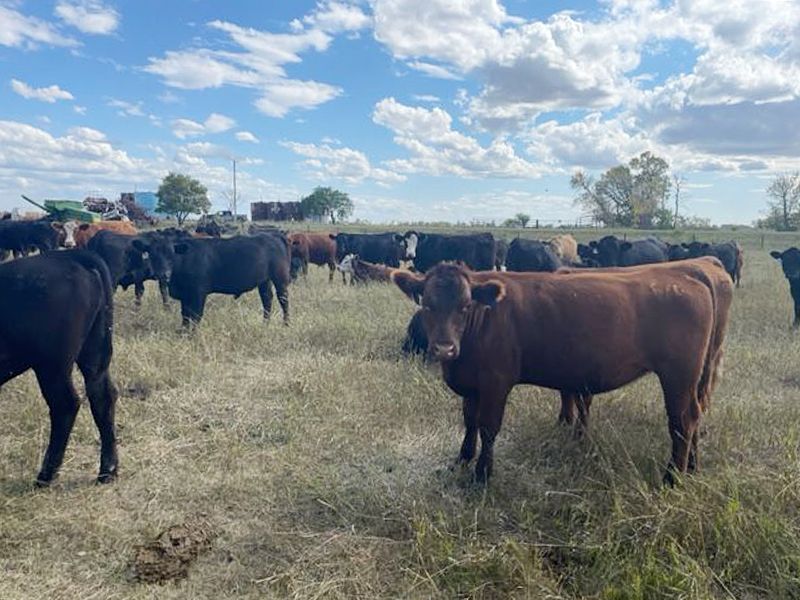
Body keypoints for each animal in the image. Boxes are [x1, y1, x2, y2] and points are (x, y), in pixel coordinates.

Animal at [0, 250, 118, 485]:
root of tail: (68, 255)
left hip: (52, 364)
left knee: (65, 404)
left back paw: (46, 475)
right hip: (95, 352)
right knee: (102, 396)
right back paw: (107, 470)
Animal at [391, 259, 731, 485]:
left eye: (464, 306)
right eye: (427, 304)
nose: (444, 349)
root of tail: (690, 275)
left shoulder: (495, 382)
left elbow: (488, 427)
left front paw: (483, 475)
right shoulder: (472, 384)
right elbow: (470, 422)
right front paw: (462, 460)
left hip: (678, 374)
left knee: (682, 420)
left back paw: (672, 478)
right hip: (692, 377)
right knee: (695, 414)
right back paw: (691, 467)